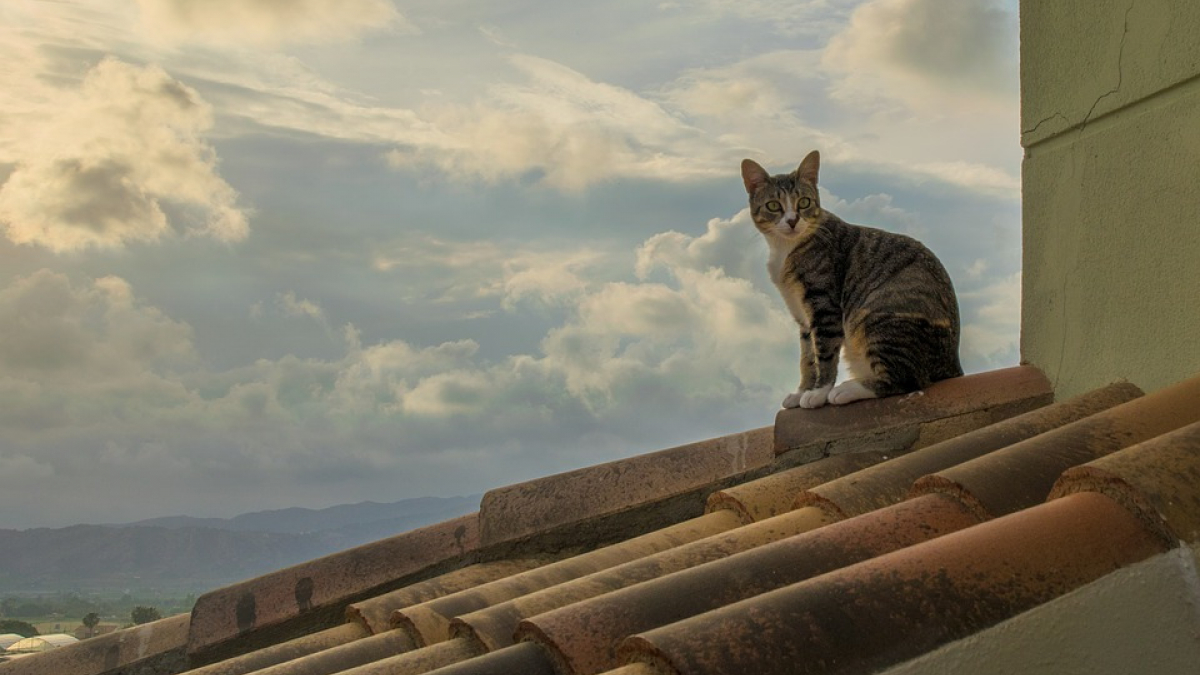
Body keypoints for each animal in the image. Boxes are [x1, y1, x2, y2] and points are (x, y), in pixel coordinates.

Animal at [739, 149, 964, 408]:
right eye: (773, 205)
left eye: (804, 202)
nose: (792, 221)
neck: (786, 249)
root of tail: (952, 364)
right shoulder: (802, 315)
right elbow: (807, 357)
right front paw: (802, 391)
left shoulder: (824, 305)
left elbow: (824, 353)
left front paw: (818, 393)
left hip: (876, 317)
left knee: (907, 379)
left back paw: (847, 389)